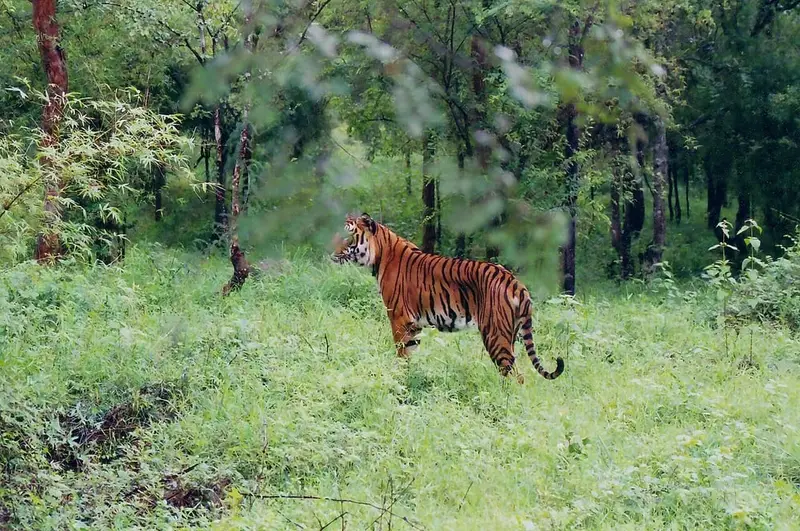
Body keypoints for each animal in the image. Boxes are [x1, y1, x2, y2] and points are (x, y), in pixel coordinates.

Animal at [331, 213, 564, 381]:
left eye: (348, 236)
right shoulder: (414, 326)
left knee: (515, 375)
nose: (330, 251)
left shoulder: (398, 318)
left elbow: (401, 355)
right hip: (510, 333)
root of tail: (516, 282)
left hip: (495, 335)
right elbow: (411, 355)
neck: (379, 255)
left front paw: (398, 380)